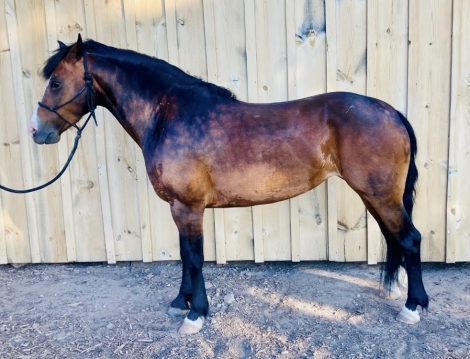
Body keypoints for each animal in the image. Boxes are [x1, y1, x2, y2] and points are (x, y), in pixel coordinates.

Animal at [27, 35, 428, 336]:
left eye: (56, 82)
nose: (35, 131)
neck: (168, 114)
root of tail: (390, 112)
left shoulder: (188, 207)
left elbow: (195, 259)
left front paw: (196, 315)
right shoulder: (179, 208)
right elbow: (185, 256)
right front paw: (181, 303)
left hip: (381, 195)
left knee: (410, 239)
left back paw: (413, 307)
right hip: (377, 196)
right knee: (395, 239)